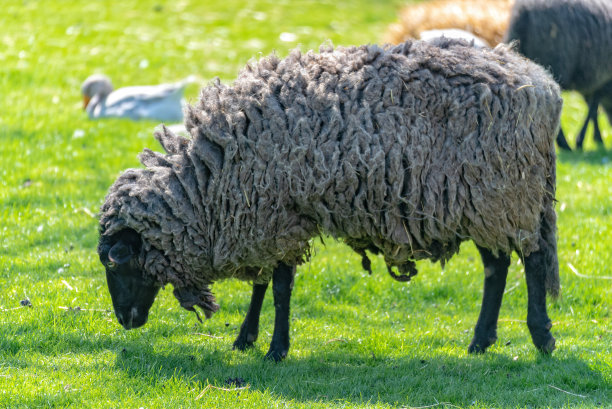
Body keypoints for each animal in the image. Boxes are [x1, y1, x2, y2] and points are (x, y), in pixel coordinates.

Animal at [98, 39, 560, 360]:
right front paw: (246, 338)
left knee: (532, 262)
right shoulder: (262, 218)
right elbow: (263, 283)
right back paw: (481, 342)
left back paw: (541, 337)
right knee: (497, 267)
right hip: (485, 199)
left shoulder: (276, 215)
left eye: (117, 261)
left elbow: (279, 287)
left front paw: (275, 349)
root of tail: (543, 85)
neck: (212, 180)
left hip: (506, 192)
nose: (125, 321)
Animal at [504, 0, 612, 150]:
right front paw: (583, 140)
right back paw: (563, 143)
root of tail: (524, 13)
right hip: (556, 62)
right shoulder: (602, 79)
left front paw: (597, 138)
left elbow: (593, 109)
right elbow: (593, 107)